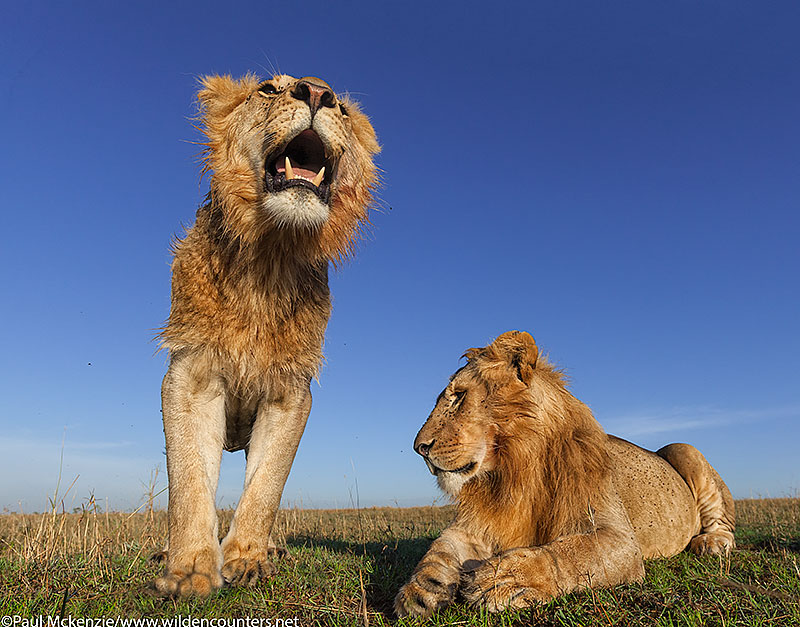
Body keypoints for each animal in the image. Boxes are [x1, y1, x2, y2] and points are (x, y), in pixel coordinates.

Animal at [157, 73, 382, 600]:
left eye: (342, 108)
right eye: (267, 88)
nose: (317, 92)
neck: (269, 260)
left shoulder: (290, 393)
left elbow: (266, 484)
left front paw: (247, 559)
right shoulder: (189, 378)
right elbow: (188, 483)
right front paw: (190, 571)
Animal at [396, 334, 736, 620]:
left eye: (459, 396)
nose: (418, 447)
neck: (513, 471)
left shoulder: (620, 539)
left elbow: (570, 554)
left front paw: (504, 578)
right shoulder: (477, 526)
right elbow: (440, 549)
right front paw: (420, 591)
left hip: (683, 448)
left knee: (724, 525)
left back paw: (711, 544)